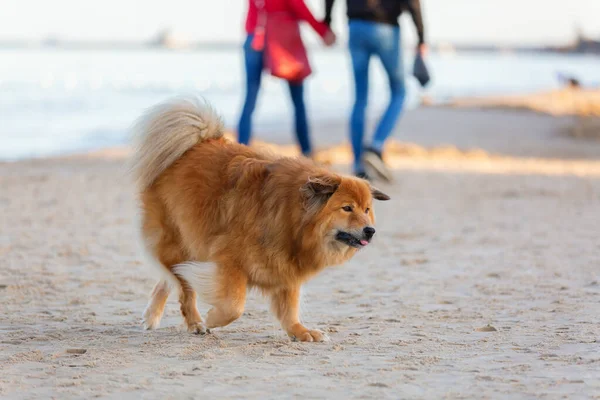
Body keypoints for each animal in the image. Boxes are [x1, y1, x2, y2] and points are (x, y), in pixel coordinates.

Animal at [131, 97, 390, 340]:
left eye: (367, 209)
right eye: (347, 208)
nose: (370, 231)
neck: (291, 216)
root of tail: (193, 144)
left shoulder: (286, 268)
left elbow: (289, 308)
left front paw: (300, 331)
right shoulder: (230, 261)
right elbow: (234, 306)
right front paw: (212, 318)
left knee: (171, 278)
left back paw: (152, 315)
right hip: (179, 239)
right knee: (182, 285)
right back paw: (195, 322)